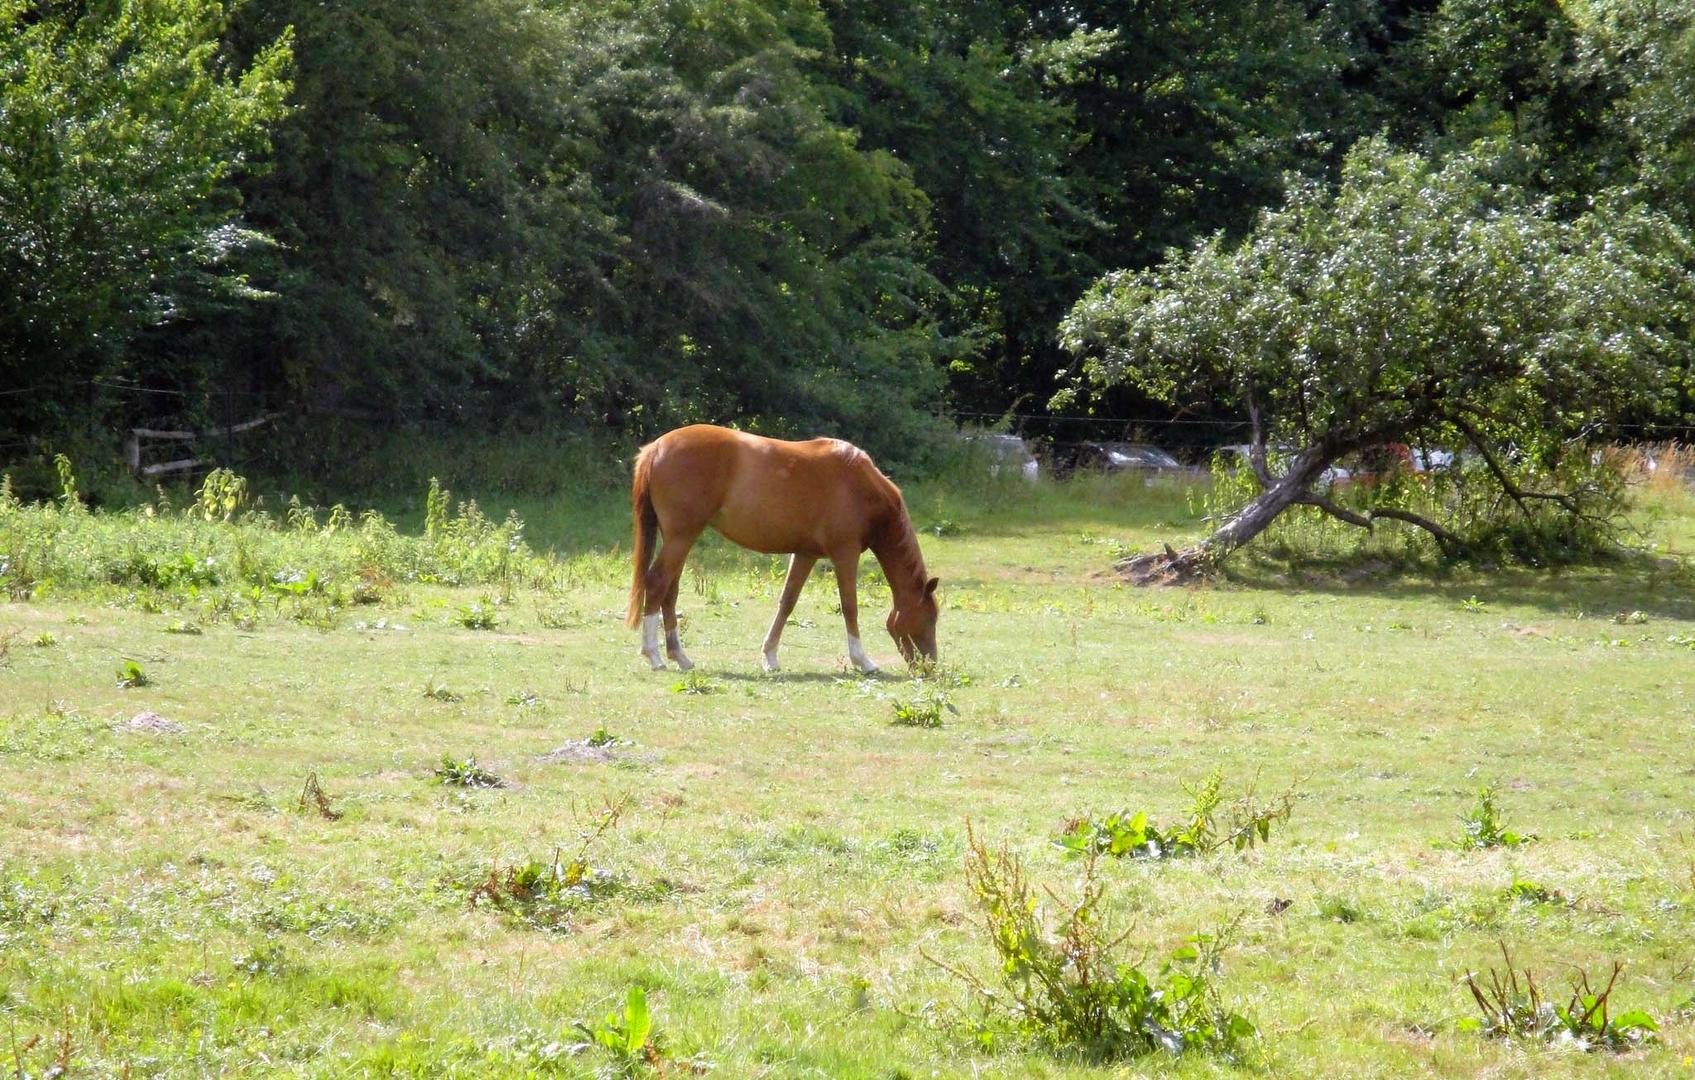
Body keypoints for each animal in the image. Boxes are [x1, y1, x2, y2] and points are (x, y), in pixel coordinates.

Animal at [627, 423, 942, 671]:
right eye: (930, 619)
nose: (930, 667)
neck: (861, 487)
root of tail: (656, 447)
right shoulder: (845, 554)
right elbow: (850, 606)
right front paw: (862, 661)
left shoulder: (805, 554)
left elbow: (787, 602)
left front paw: (770, 656)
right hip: (681, 537)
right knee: (657, 582)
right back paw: (654, 656)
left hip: (679, 538)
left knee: (670, 590)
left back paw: (679, 656)